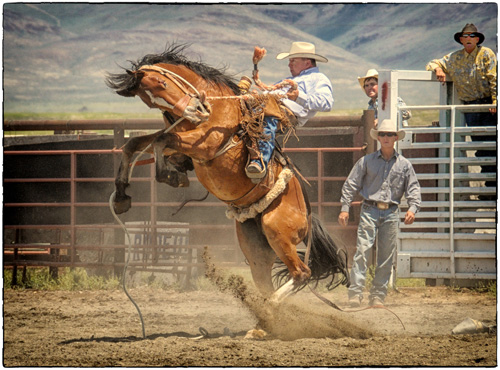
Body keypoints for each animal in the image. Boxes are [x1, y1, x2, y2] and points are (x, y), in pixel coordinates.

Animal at [105, 43, 348, 300]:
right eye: (148, 100)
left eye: (162, 83)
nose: (197, 110)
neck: (218, 106)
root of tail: (309, 215)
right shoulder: (183, 141)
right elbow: (136, 144)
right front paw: (121, 196)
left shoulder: (206, 143)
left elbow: (162, 139)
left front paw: (170, 175)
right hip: (255, 245)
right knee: (266, 278)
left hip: (276, 228)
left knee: (301, 273)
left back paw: (269, 306)